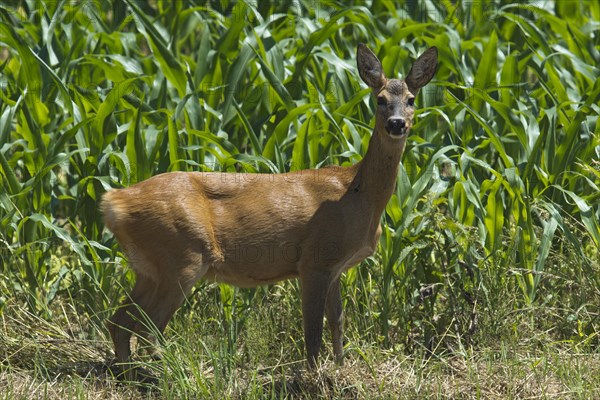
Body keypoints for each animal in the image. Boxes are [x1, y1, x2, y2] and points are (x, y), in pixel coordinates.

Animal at [103, 45, 438, 374]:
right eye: (380, 99)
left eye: (411, 99)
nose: (397, 123)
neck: (357, 193)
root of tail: (114, 201)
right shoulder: (315, 259)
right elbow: (312, 331)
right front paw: (313, 377)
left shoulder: (335, 267)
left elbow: (338, 322)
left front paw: (341, 369)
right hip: (182, 255)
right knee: (148, 328)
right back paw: (167, 374)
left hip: (149, 268)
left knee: (119, 321)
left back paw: (129, 374)